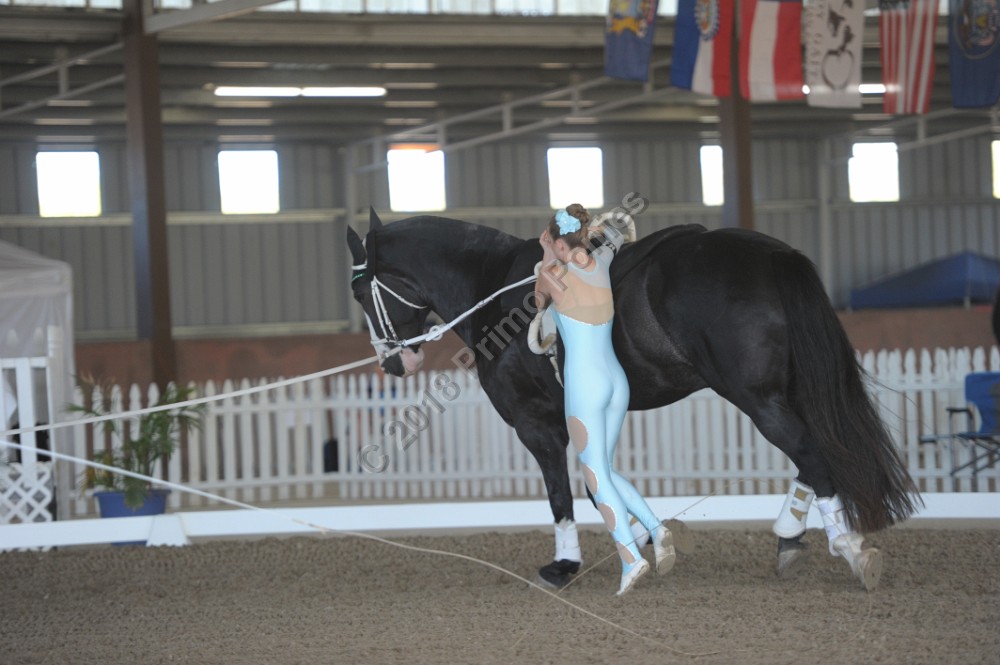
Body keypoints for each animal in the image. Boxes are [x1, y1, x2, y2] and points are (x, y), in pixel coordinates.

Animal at [346, 209, 920, 591]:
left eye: (358, 293)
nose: (393, 362)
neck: (494, 287)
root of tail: (774, 254)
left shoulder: (535, 422)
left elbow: (562, 493)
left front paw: (566, 564)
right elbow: (600, 480)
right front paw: (652, 539)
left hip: (758, 399)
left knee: (814, 457)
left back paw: (847, 548)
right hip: (785, 393)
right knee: (815, 455)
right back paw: (789, 533)